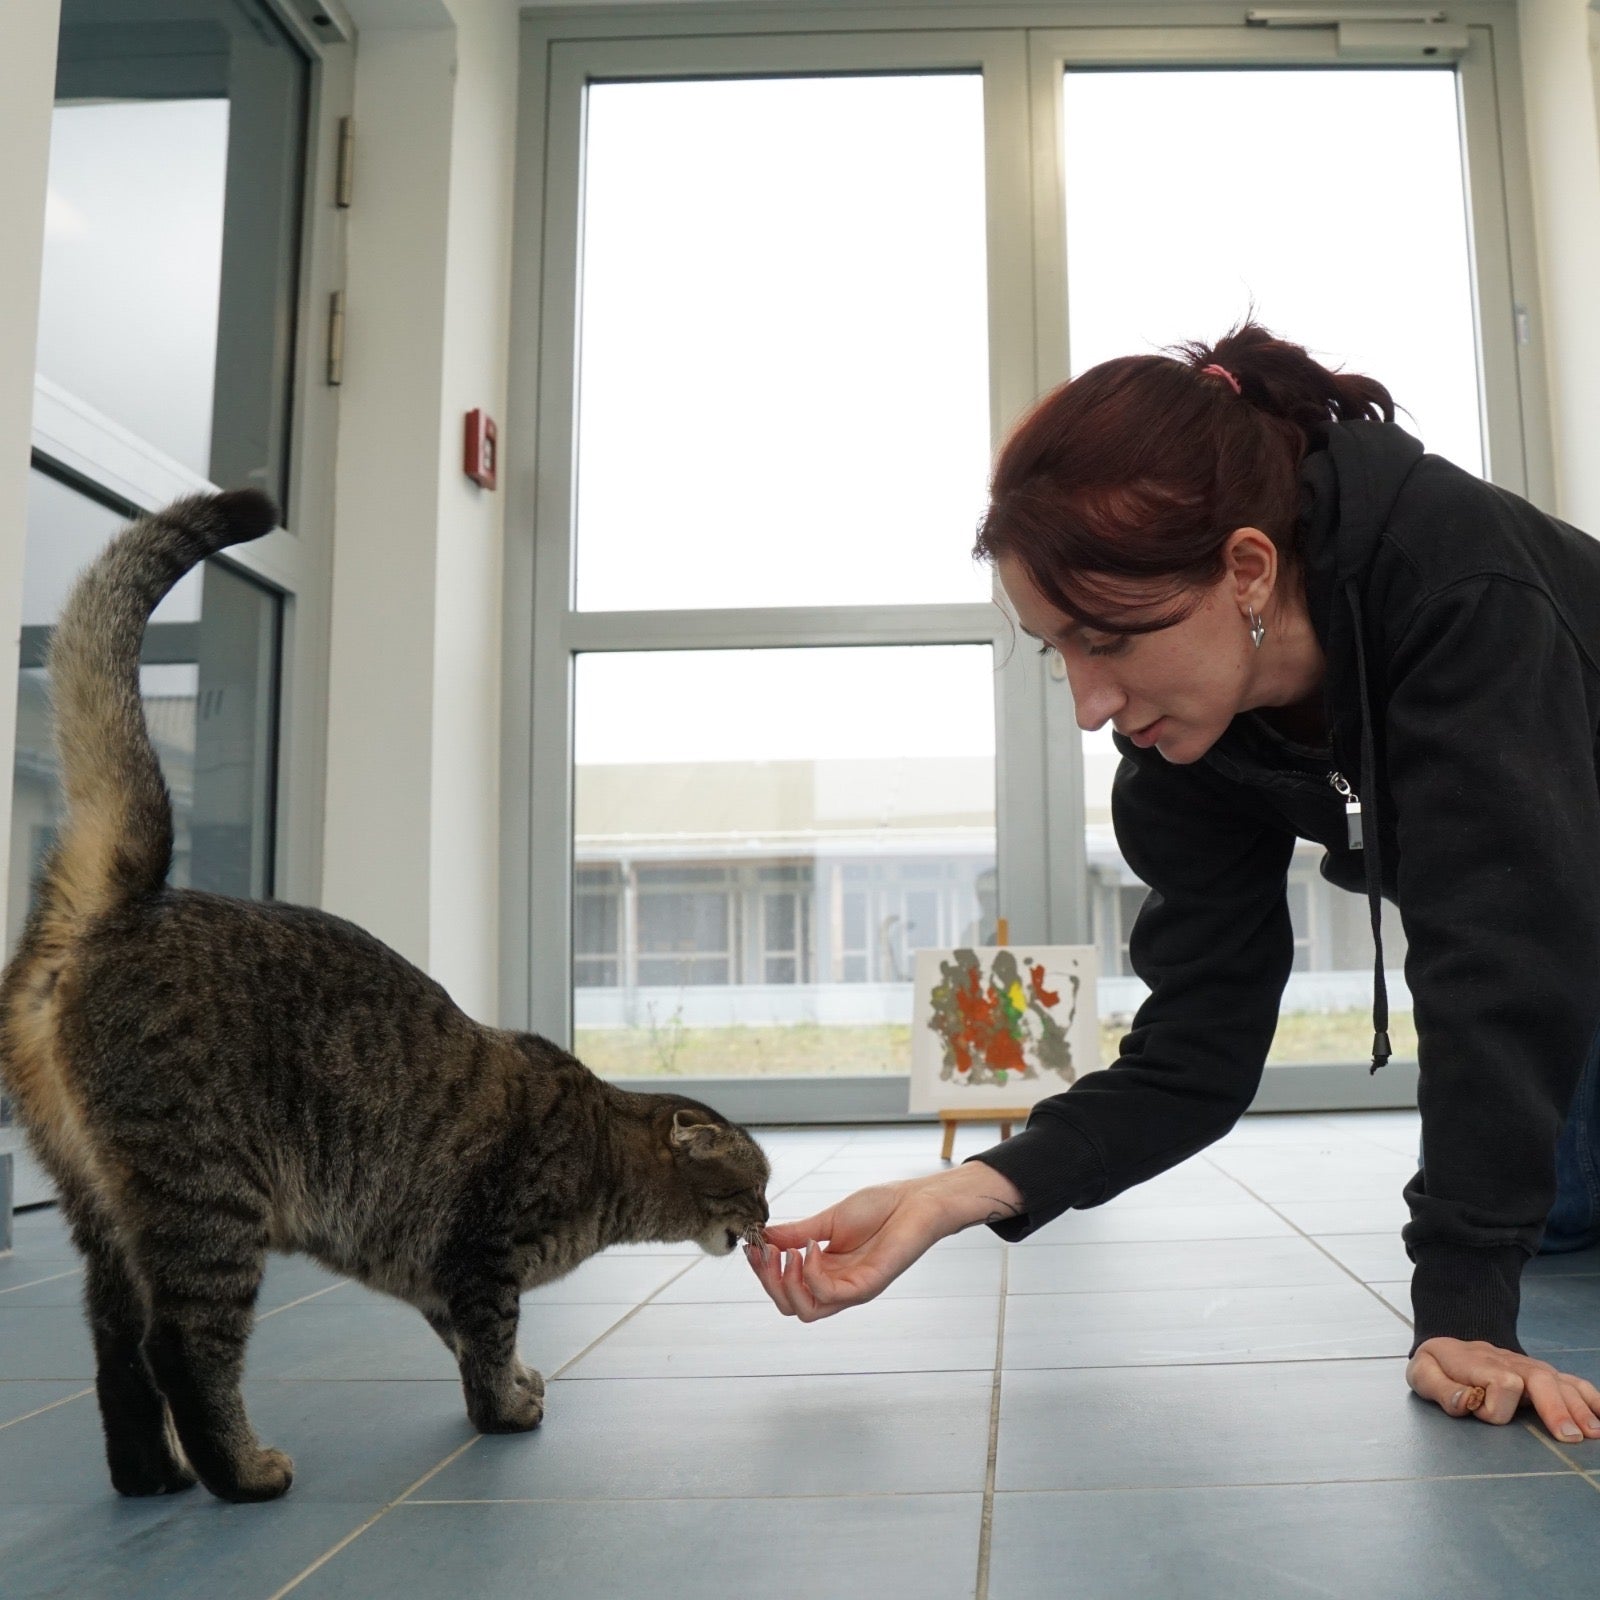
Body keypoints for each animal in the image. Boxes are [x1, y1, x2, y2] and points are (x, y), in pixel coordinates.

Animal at [0, 486, 774, 1497]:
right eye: (754, 1183)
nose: (773, 1218)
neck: (604, 1158)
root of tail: (124, 903)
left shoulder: (438, 1270)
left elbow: (471, 1341)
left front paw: (518, 1385)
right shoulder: (481, 1255)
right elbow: (488, 1343)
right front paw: (508, 1410)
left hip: (103, 1212)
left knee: (116, 1349)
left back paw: (151, 1474)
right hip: (208, 1200)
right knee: (182, 1346)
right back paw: (241, 1471)